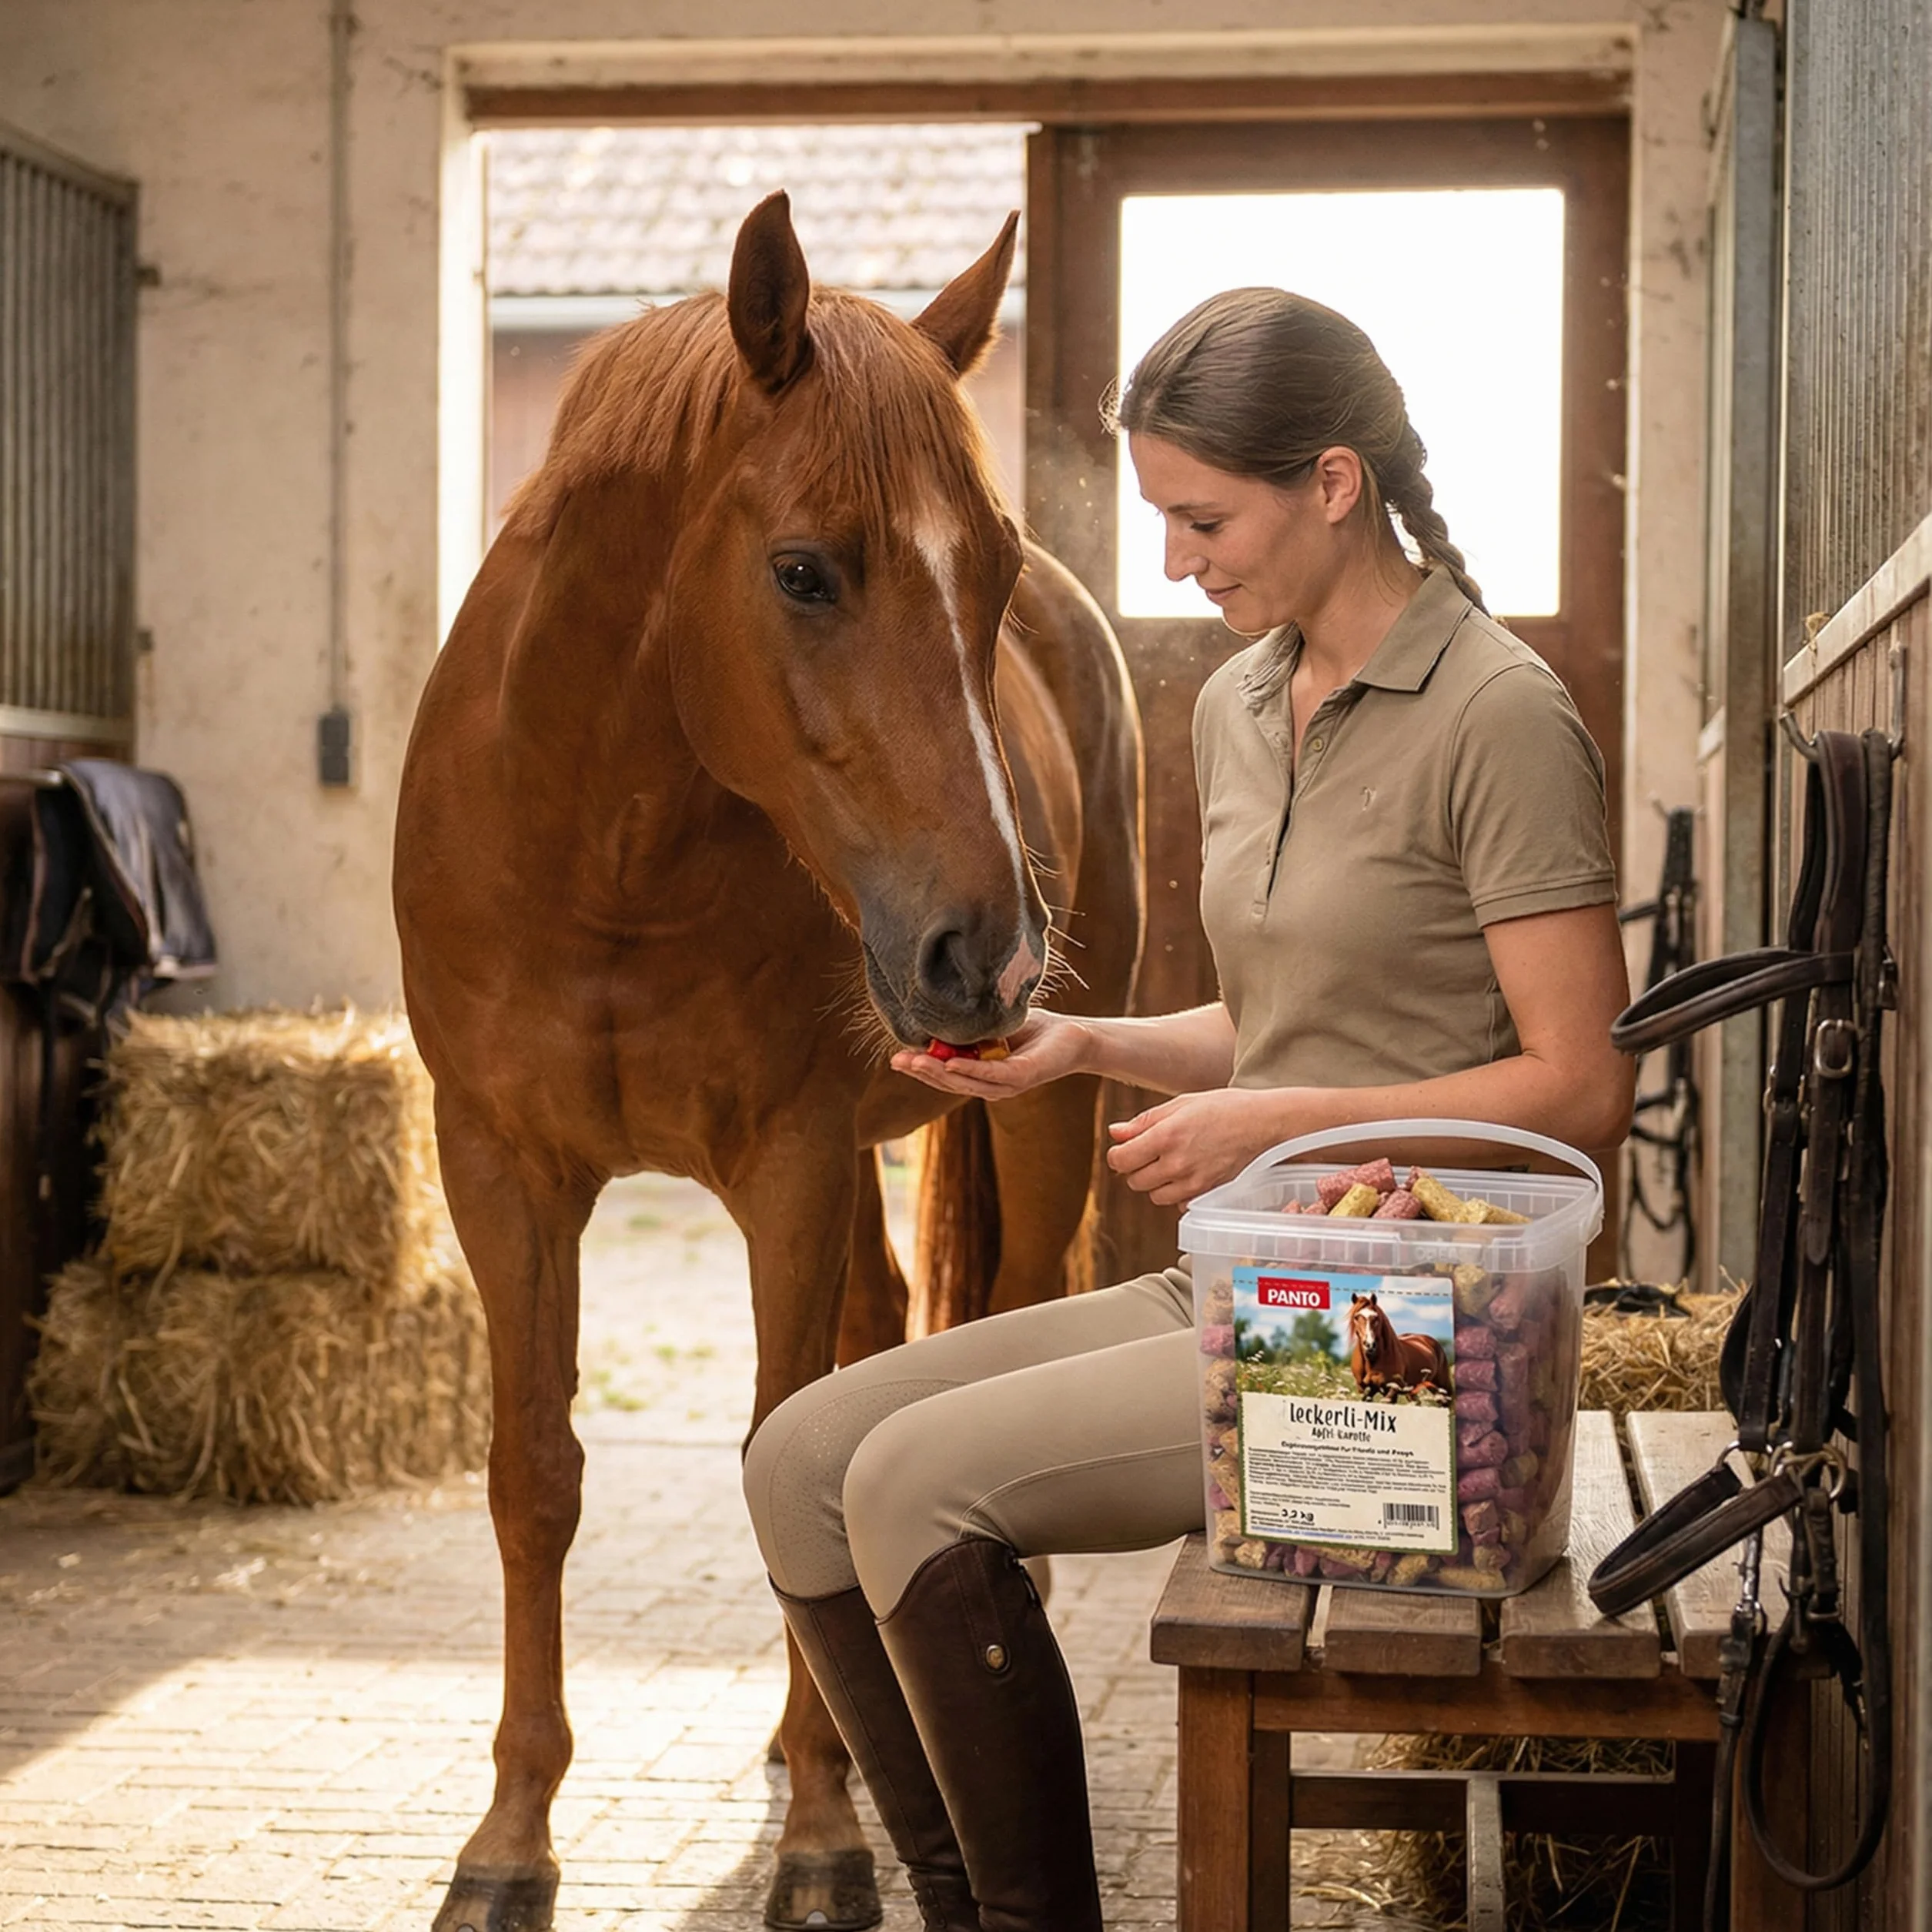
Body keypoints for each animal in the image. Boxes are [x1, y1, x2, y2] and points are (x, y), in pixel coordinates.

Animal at [393, 193, 1144, 1932]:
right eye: (805, 572)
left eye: (988, 575)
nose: (989, 949)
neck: (602, 844)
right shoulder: (501, 1168)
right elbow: (533, 1473)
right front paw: (508, 1842)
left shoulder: (786, 1165)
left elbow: (775, 1451)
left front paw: (816, 1830)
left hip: (1041, 1118)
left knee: (1003, 1314)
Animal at [1347, 1293, 1448, 1397]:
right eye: (1356, 1317)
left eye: (1376, 1317)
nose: (1370, 1345)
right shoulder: (1364, 1389)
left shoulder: (1393, 1388)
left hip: (1442, 1386)